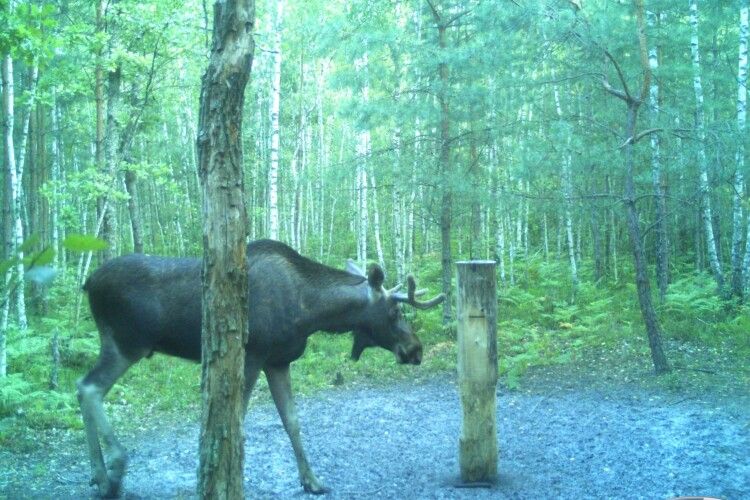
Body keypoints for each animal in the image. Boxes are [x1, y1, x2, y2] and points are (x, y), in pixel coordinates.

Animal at [78, 238, 440, 496]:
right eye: (395, 312)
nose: (416, 349)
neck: (311, 312)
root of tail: (88, 281)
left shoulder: (278, 361)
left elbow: (292, 422)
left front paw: (312, 480)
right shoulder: (251, 356)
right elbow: (236, 422)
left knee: (83, 387)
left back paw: (98, 475)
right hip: (127, 343)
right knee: (90, 387)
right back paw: (115, 468)